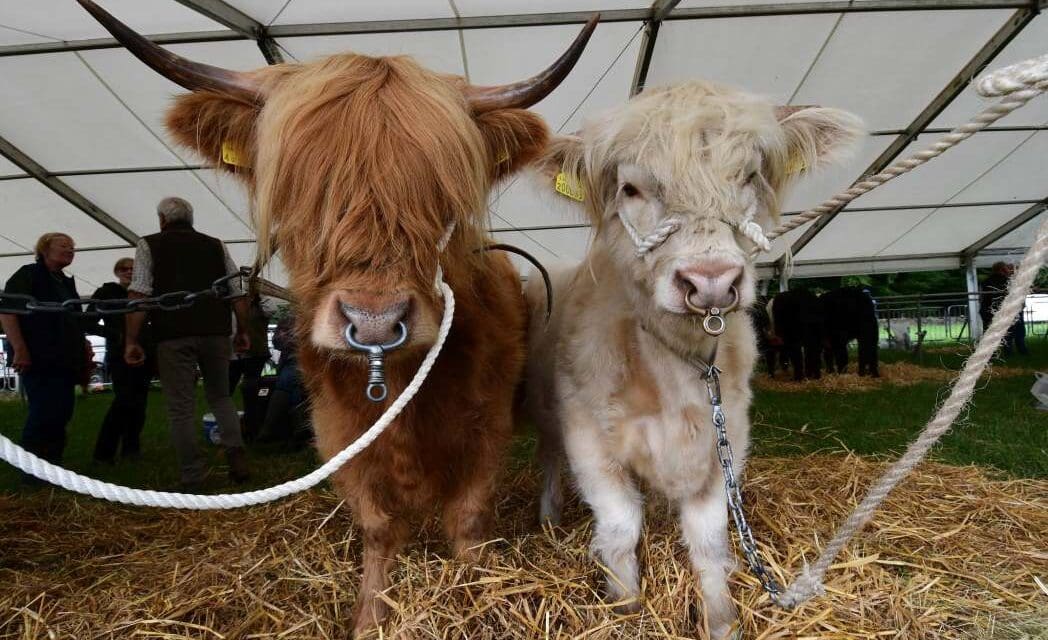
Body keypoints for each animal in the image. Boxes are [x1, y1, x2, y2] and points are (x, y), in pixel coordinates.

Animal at [524, 82, 859, 636]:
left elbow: (709, 540)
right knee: (549, 458)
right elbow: (620, 527)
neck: (674, 376)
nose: (711, 281)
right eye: (631, 189)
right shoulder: (589, 440)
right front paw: (626, 607)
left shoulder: (726, 440)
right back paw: (549, 517)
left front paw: (721, 621)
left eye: (747, 176)